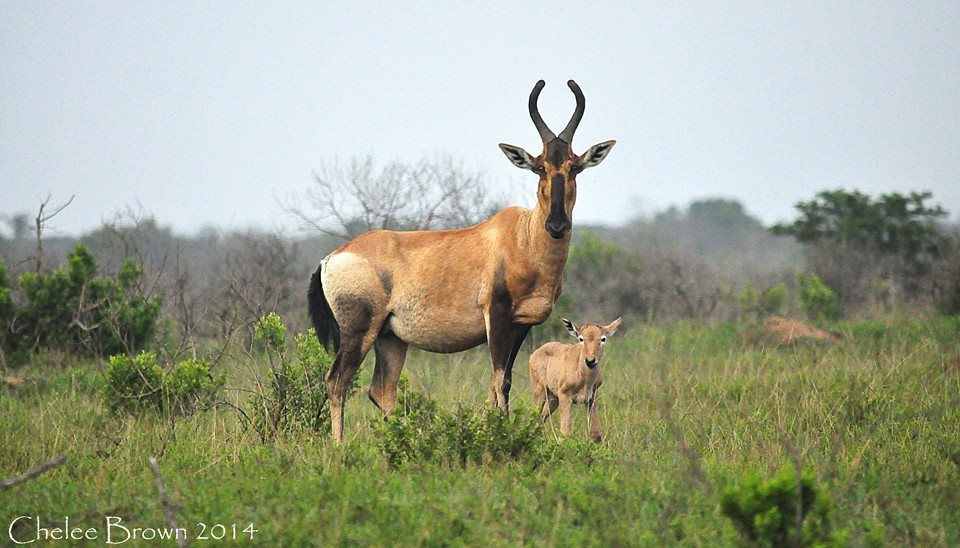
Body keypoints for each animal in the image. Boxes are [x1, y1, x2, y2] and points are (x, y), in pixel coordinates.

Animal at [308, 80, 616, 440]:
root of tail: (331, 258)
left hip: (390, 338)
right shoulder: (496, 317)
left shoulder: (521, 325)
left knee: (381, 390)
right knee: (337, 381)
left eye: (574, 166)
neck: (520, 237)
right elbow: (499, 381)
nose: (556, 225)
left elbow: (502, 383)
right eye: (539, 166)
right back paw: (339, 447)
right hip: (359, 331)